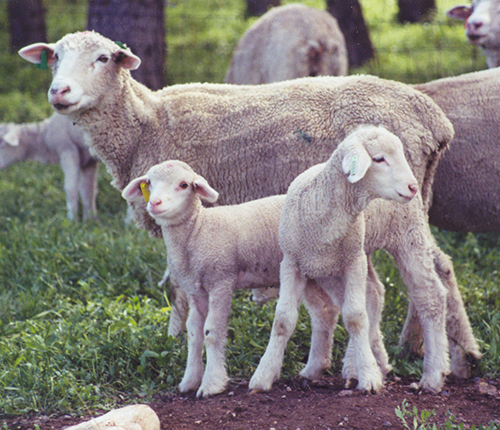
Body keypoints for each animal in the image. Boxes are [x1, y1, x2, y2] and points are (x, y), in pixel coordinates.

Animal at [120, 160, 286, 396]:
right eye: (149, 183)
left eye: (183, 185)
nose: (154, 202)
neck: (199, 229)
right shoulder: (195, 290)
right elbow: (194, 334)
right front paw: (189, 380)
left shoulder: (221, 281)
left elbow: (212, 332)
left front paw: (211, 384)